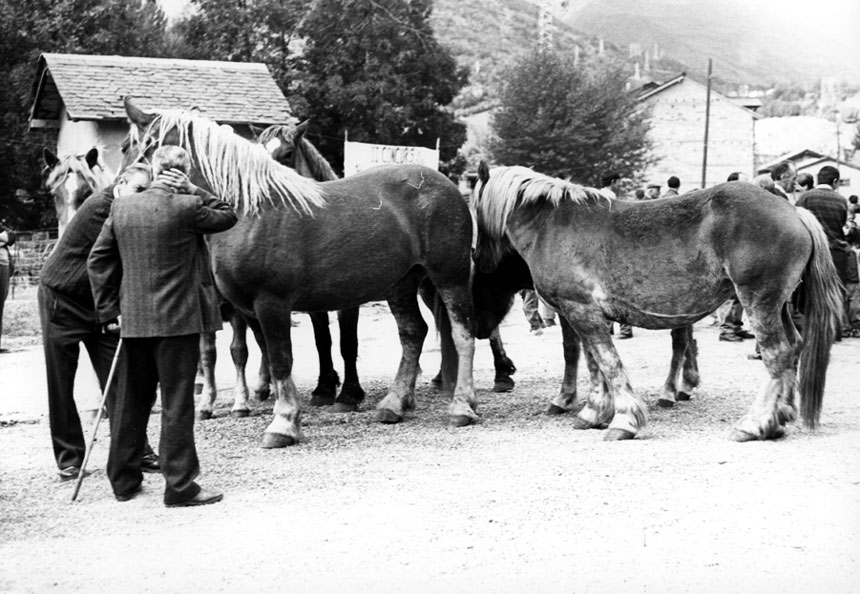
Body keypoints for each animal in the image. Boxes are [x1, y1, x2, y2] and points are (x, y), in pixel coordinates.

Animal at [124, 99, 480, 446]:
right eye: (129, 145)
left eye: (146, 144)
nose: (130, 189)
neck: (251, 210)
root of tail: (446, 185)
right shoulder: (253, 311)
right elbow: (272, 357)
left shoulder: (272, 302)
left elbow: (282, 358)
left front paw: (283, 424)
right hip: (402, 284)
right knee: (413, 333)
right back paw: (394, 404)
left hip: (450, 277)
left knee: (462, 334)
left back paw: (462, 406)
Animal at [470, 162, 840, 440]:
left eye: (474, 209)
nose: (477, 257)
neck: (551, 224)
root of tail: (794, 211)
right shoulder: (584, 313)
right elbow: (594, 362)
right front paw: (594, 411)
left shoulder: (580, 310)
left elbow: (607, 362)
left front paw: (623, 420)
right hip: (778, 305)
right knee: (793, 347)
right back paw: (779, 417)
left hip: (759, 302)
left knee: (777, 354)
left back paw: (755, 423)